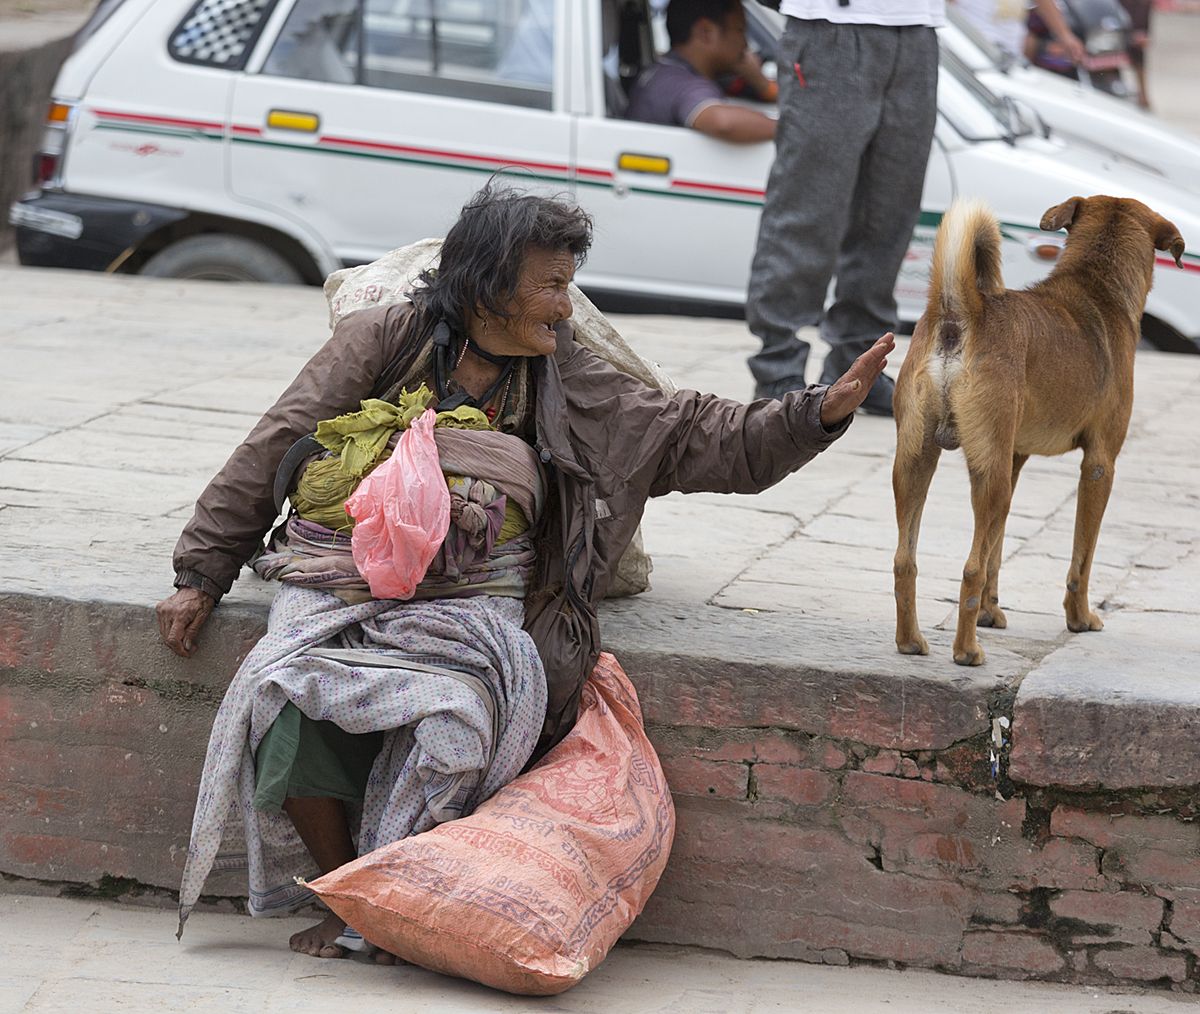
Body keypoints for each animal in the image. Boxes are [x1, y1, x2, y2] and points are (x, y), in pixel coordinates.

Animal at [892, 194, 1180, 662]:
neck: (1096, 286)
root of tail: (961, 313)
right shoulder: (1099, 465)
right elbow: (1082, 557)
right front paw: (1080, 618)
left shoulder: (1013, 458)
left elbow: (997, 551)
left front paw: (991, 612)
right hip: (988, 478)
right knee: (970, 568)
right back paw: (966, 650)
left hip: (919, 462)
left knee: (907, 560)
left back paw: (911, 641)